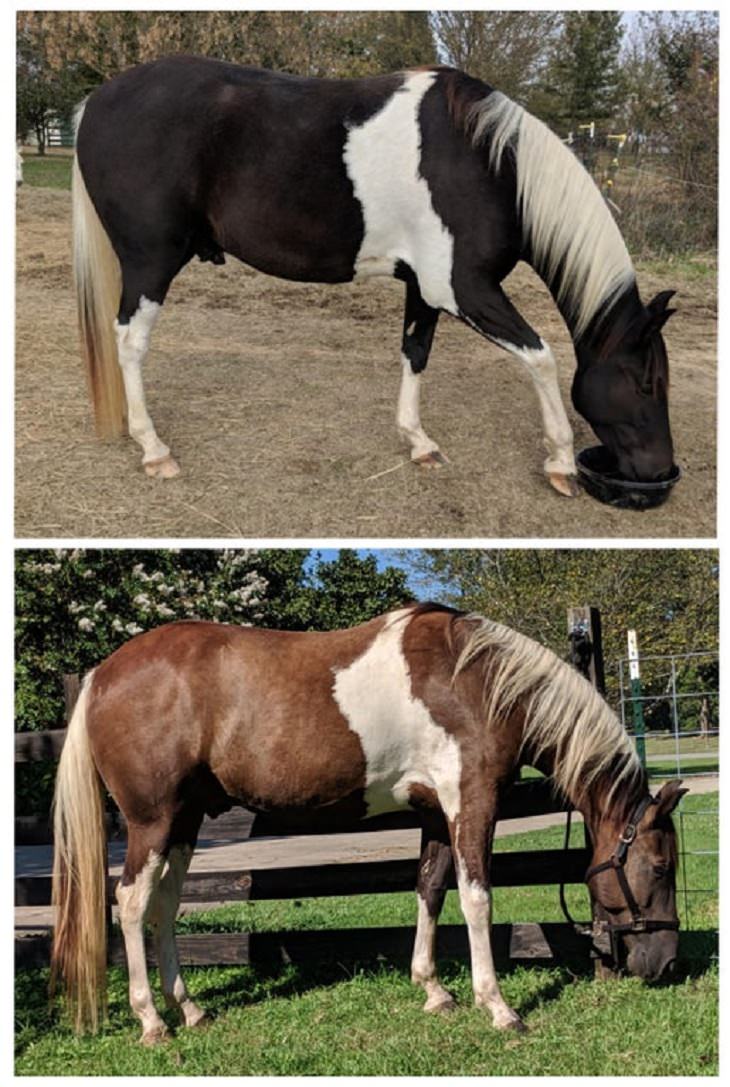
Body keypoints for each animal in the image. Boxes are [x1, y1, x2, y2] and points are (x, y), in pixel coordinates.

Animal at [51, 608, 686, 1039]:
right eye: (659, 866)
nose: (665, 964)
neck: (477, 680)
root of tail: (102, 674)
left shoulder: (436, 813)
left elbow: (430, 889)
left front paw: (433, 990)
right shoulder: (472, 803)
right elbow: (477, 898)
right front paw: (498, 1006)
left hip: (183, 824)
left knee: (164, 907)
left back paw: (188, 1008)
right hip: (151, 822)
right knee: (132, 903)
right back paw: (151, 1021)